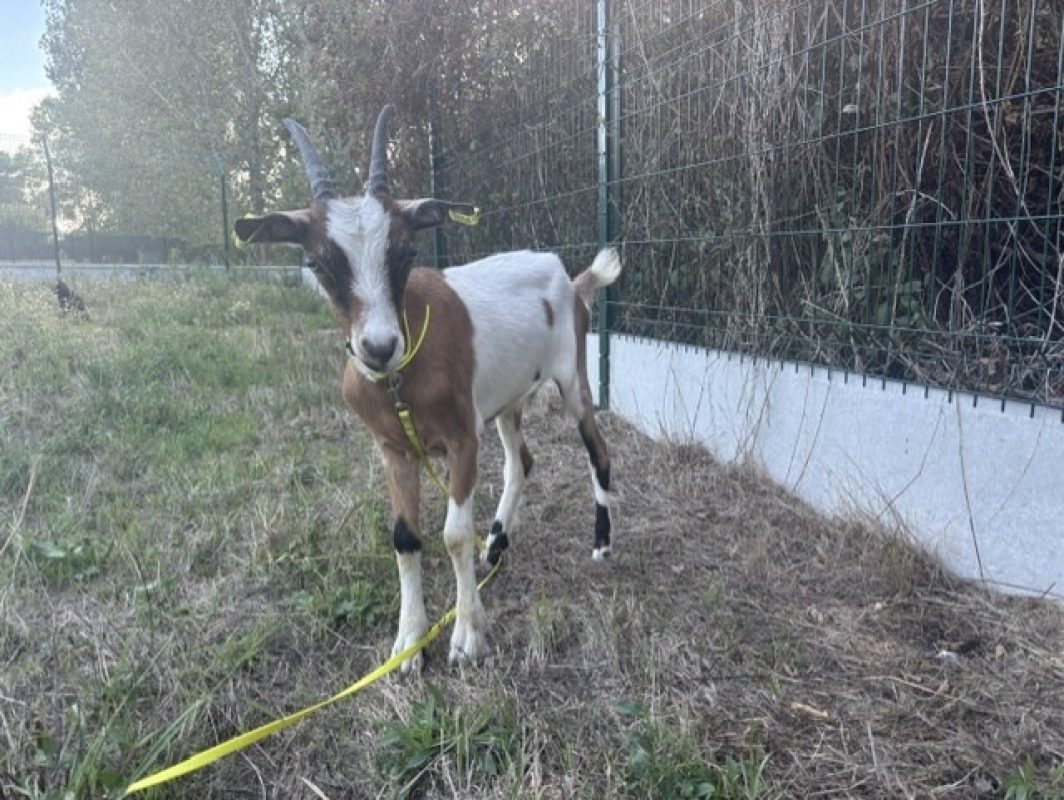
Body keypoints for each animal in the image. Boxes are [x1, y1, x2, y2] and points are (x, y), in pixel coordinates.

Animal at [234, 106, 620, 671]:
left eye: (406, 250)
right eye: (318, 263)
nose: (377, 347)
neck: (402, 379)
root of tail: (569, 281)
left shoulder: (462, 440)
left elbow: (453, 534)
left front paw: (466, 638)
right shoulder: (394, 449)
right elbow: (405, 538)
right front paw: (409, 643)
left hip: (571, 377)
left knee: (597, 448)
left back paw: (601, 544)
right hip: (506, 400)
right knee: (521, 461)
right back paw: (496, 545)